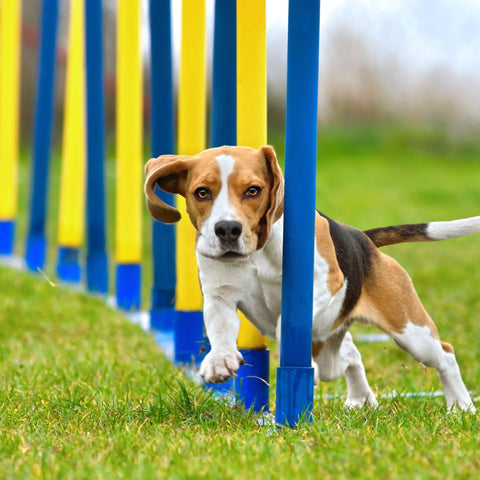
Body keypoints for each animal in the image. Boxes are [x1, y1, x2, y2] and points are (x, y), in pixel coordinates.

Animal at [144, 144, 478, 410]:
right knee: (350, 354)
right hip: (337, 345)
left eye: (253, 190)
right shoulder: (220, 297)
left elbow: (284, 323)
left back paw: (460, 406)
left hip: (411, 331)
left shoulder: (323, 283)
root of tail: (364, 240)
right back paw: (360, 399)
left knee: (445, 355)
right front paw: (219, 360)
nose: (227, 229)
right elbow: (220, 330)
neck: (257, 253)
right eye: (202, 193)